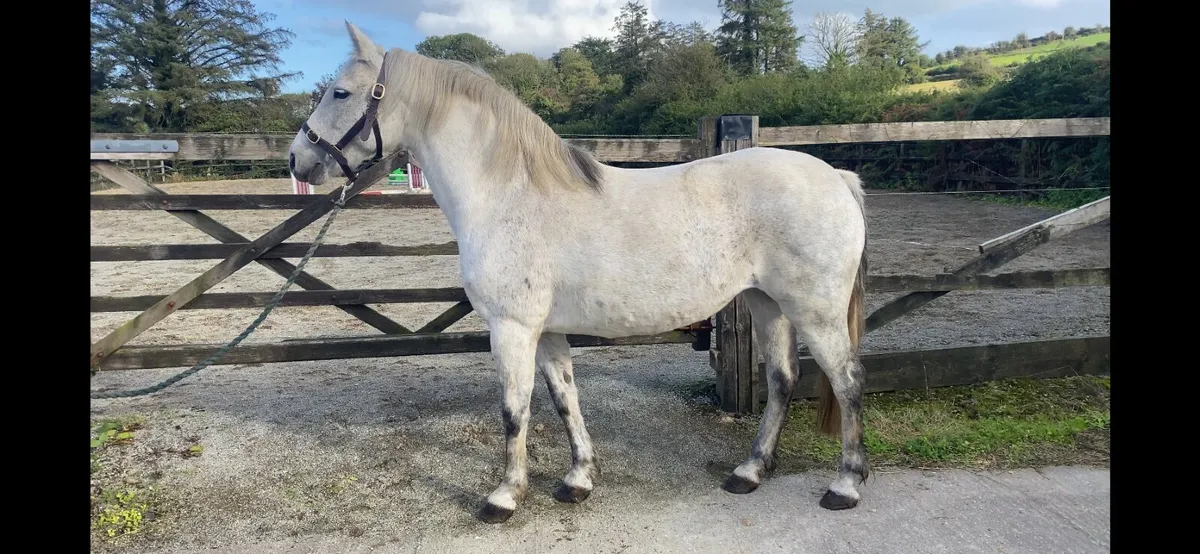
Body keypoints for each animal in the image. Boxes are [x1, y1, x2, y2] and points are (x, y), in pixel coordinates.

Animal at [288, 22, 871, 524]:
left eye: (340, 93)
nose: (297, 160)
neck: (509, 194)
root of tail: (836, 177)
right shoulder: (547, 332)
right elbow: (565, 401)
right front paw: (578, 480)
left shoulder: (513, 329)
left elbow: (514, 410)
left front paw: (505, 496)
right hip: (767, 305)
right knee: (782, 380)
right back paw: (749, 472)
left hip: (814, 311)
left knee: (845, 380)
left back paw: (845, 484)